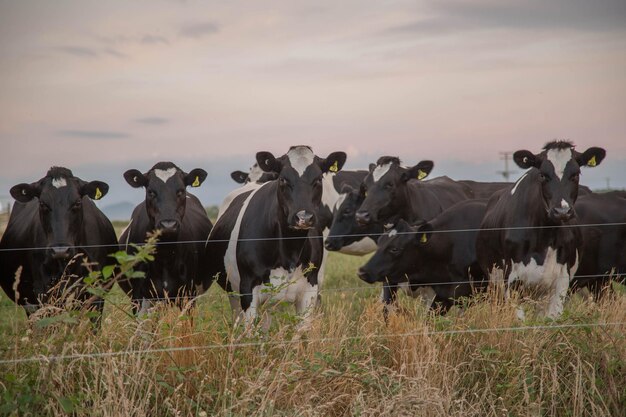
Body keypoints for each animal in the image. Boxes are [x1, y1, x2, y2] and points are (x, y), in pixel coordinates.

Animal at [118, 161, 213, 310]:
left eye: (181, 191)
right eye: (150, 191)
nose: (168, 225)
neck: (165, 254)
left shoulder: (188, 293)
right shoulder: (138, 295)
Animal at [207, 145, 348, 324]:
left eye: (318, 180)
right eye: (283, 179)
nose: (304, 217)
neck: (289, 250)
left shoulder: (309, 290)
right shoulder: (247, 289)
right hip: (233, 292)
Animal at [476, 141, 604, 318]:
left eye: (576, 174)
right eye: (543, 175)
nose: (562, 211)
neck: (545, 237)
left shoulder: (561, 282)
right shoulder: (512, 280)